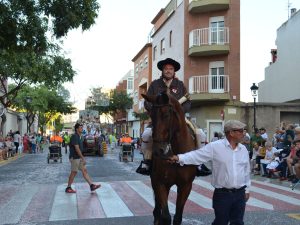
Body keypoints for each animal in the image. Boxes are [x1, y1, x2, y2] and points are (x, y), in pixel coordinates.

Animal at [142, 92, 198, 225]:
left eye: (166, 115)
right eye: (151, 115)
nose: (158, 150)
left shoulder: (186, 186)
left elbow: (177, 217)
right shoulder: (160, 183)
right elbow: (166, 216)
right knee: (157, 211)